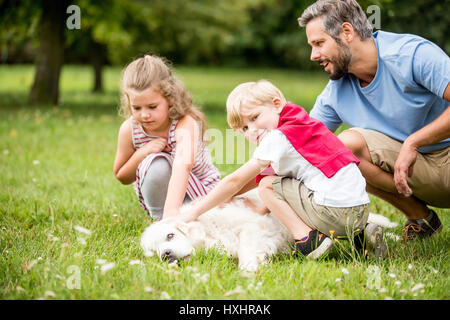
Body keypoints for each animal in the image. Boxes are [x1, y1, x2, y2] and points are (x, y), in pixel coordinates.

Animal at [142, 191, 398, 272]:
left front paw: (248, 271)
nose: (165, 255)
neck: (208, 230)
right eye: (154, 253)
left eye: (170, 236)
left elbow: (247, 249)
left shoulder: (254, 227)